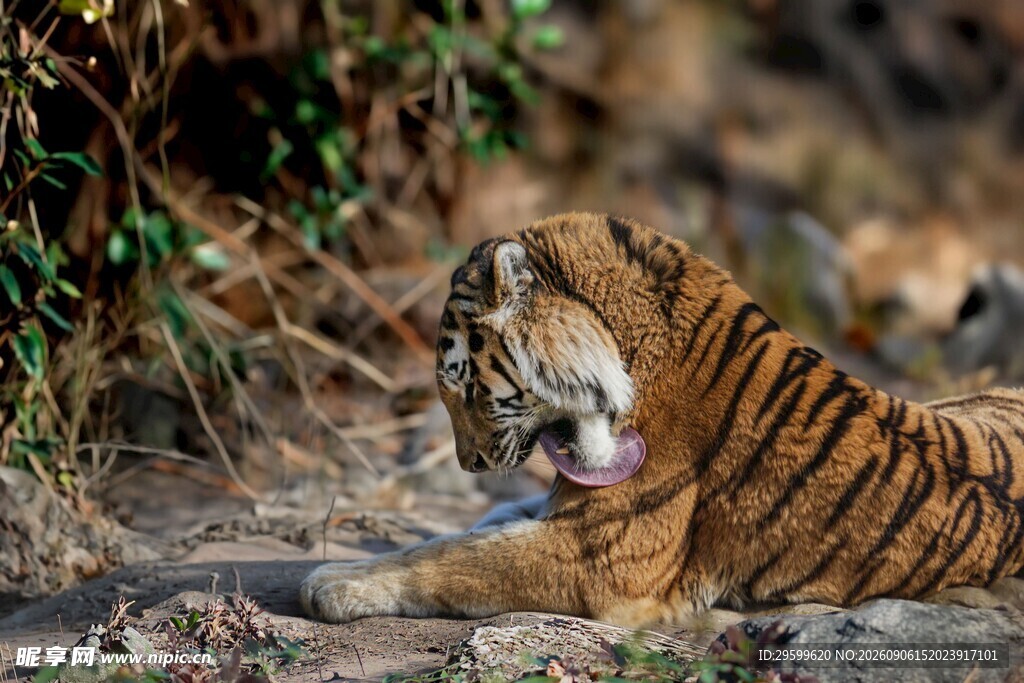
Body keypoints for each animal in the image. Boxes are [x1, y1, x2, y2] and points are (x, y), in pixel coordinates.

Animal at [300, 212, 1024, 627]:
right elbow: (469, 533)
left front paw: (333, 582)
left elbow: (455, 559)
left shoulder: (604, 557)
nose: (468, 464)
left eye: (463, 383)